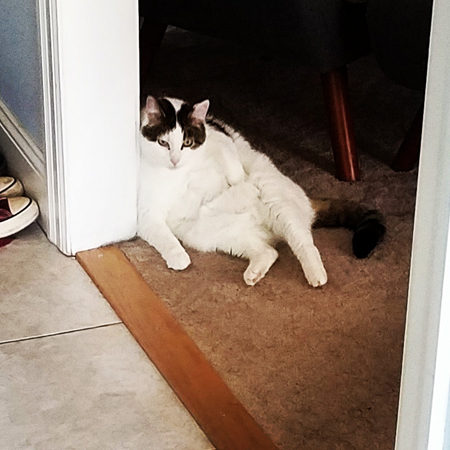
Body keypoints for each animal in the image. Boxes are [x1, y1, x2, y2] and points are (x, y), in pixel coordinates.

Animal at [137, 96, 384, 286]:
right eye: (163, 143)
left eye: (186, 143)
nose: (175, 160)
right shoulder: (147, 212)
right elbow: (163, 234)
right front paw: (178, 256)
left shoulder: (220, 138)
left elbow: (230, 170)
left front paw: (239, 187)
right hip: (217, 237)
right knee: (268, 252)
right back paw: (254, 272)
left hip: (279, 205)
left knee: (305, 244)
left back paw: (316, 275)